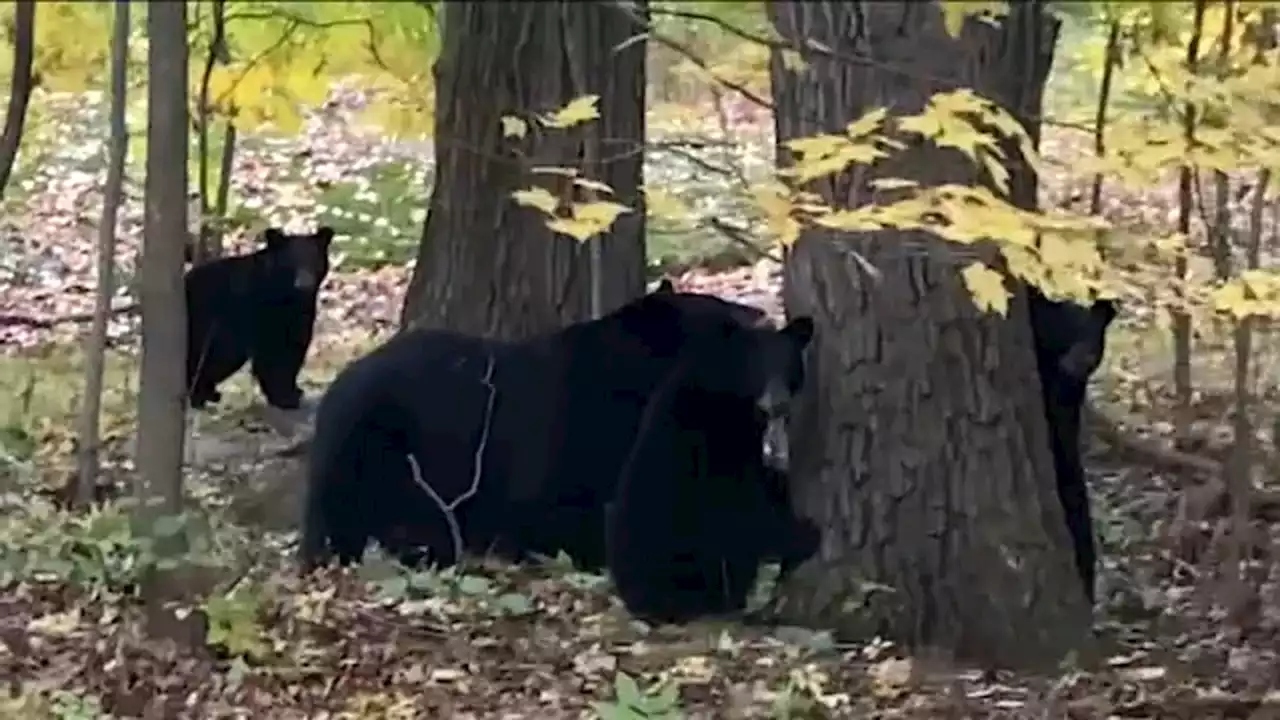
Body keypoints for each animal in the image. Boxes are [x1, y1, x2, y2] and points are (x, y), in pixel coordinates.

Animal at [186, 226, 337, 412]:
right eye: (290, 262)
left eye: (313, 260)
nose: (304, 284)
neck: (285, 296)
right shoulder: (259, 310)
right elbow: (271, 352)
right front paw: (284, 397)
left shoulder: (300, 313)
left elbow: (294, 346)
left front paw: (294, 390)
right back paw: (199, 394)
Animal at [601, 313, 819, 622]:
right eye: (758, 366)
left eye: (787, 365)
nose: (777, 404)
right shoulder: (716, 431)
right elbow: (741, 500)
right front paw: (804, 535)